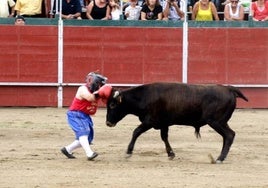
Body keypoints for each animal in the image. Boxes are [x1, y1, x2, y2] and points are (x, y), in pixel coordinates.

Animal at [105, 82, 249, 163]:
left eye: (112, 105)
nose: (108, 123)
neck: (144, 97)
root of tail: (229, 89)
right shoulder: (163, 123)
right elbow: (164, 137)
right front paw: (171, 154)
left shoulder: (150, 121)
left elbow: (136, 132)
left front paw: (128, 152)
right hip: (221, 122)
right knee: (227, 136)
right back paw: (220, 157)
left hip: (216, 121)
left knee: (229, 135)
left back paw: (219, 158)